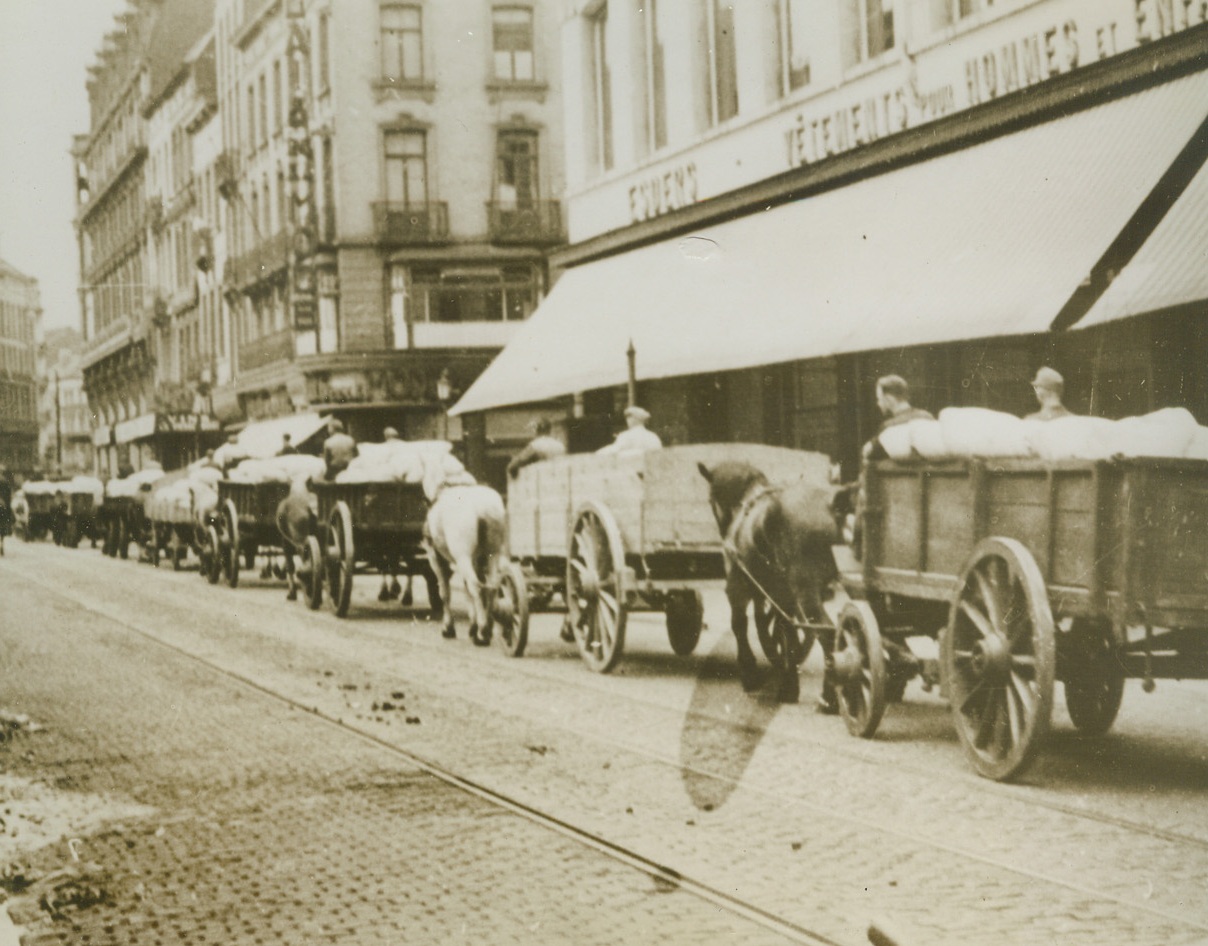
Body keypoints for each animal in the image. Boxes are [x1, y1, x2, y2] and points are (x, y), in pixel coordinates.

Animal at [422, 468, 507, 647]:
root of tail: (483, 509)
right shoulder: (477, 561)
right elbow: (467, 591)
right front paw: (473, 626)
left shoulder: (437, 560)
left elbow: (445, 593)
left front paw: (448, 628)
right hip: (493, 555)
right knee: (491, 587)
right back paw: (486, 628)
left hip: (463, 557)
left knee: (477, 586)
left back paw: (482, 633)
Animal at [700, 461, 840, 705]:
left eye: (710, 499)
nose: (723, 531)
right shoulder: (779, 595)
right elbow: (785, 629)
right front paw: (789, 684)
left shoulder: (737, 587)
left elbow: (739, 624)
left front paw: (750, 673)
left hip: (807, 593)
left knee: (826, 632)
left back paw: (829, 697)